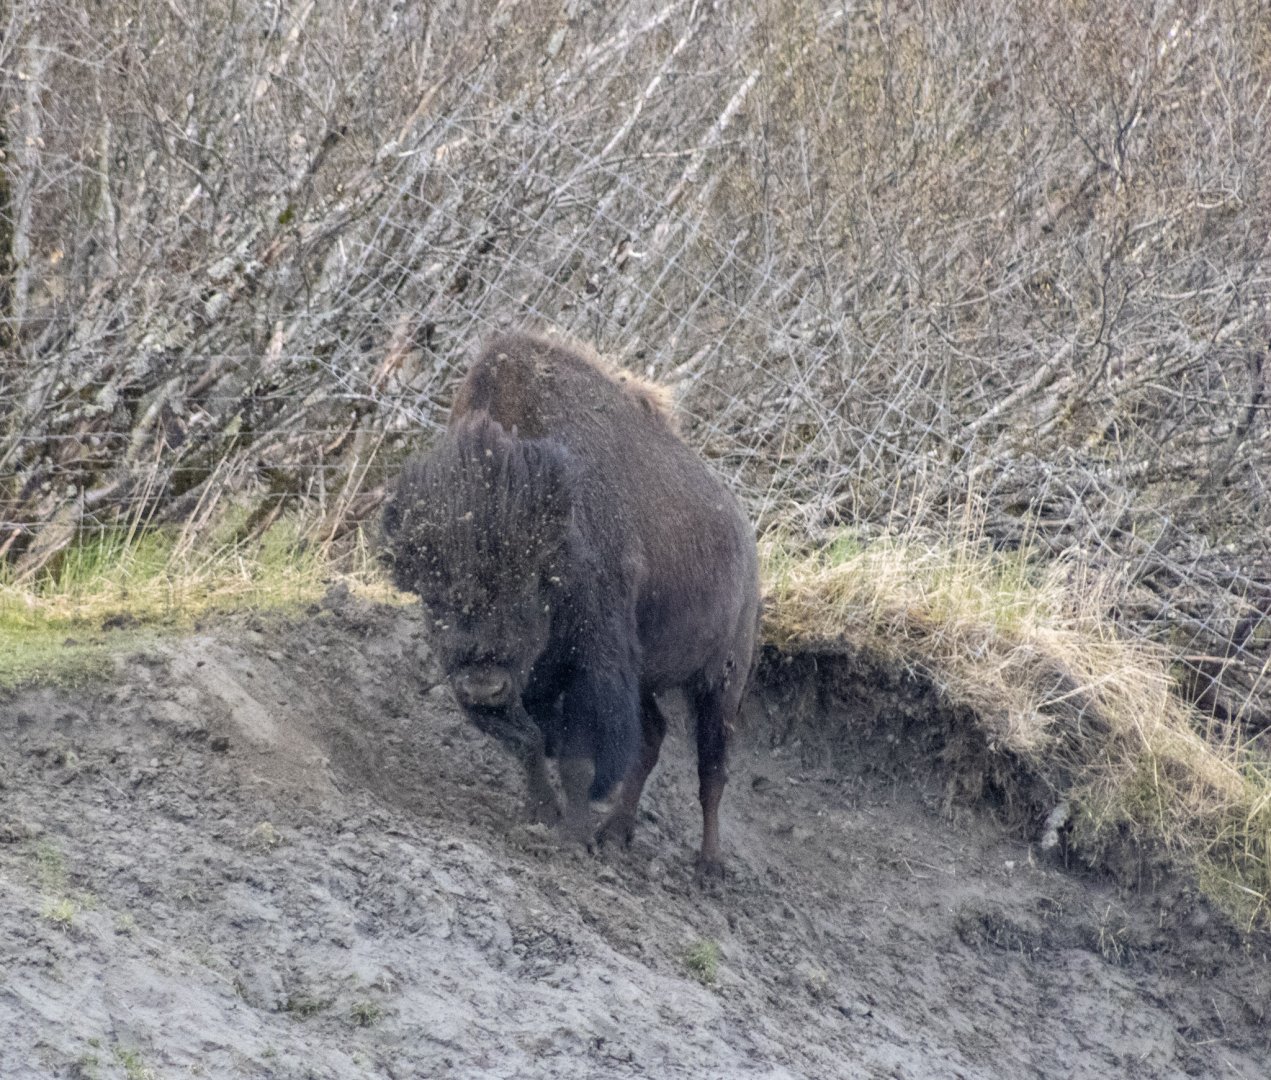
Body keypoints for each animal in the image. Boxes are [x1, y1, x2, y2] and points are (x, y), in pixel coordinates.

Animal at [383, 332, 759, 871]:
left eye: (526, 590)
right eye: (433, 600)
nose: (482, 685)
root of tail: (746, 539)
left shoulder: (593, 663)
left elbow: (578, 758)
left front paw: (572, 836)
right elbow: (532, 743)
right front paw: (543, 815)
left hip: (721, 680)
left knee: (713, 768)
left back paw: (707, 866)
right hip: (647, 678)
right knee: (653, 737)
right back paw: (615, 832)